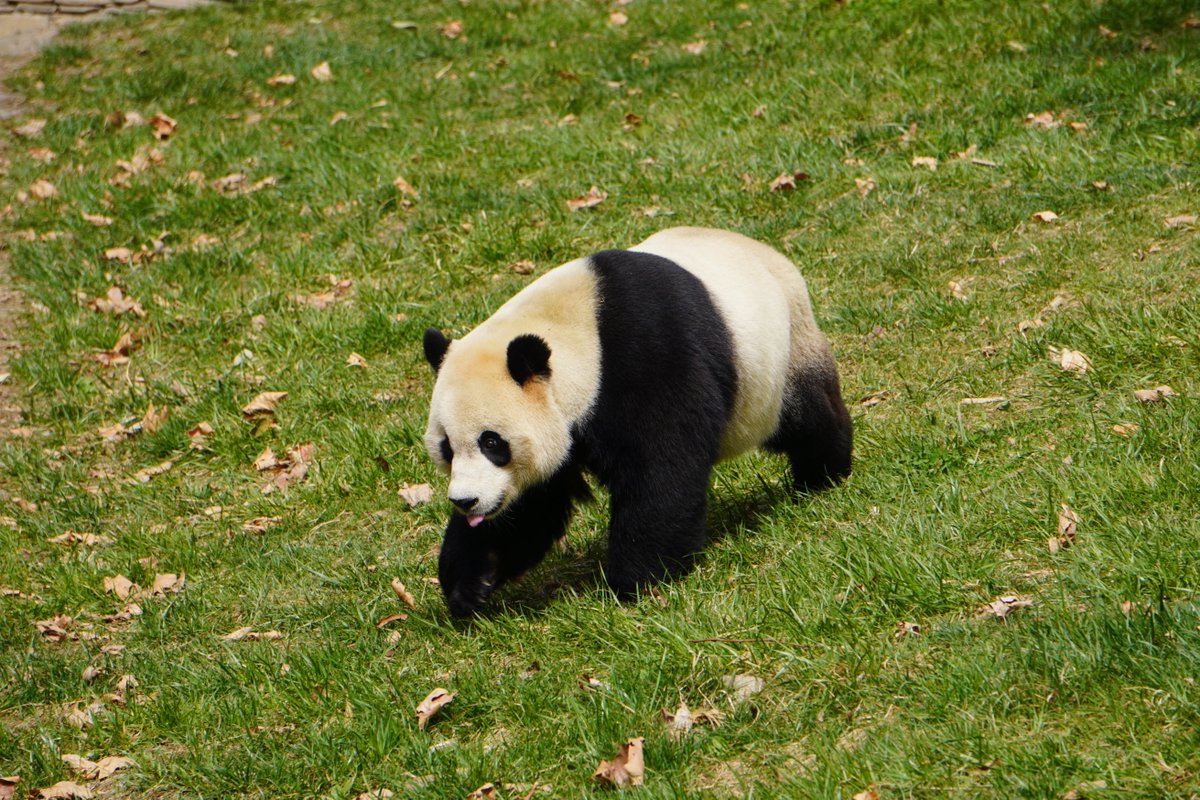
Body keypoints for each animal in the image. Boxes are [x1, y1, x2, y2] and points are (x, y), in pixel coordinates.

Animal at [422, 227, 851, 617]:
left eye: (492, 443)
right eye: (447, 447)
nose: (464, 501)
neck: (580, 335)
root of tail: (774, 255)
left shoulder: (646, 359)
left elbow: (661, 469)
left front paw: (637, 580)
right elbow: (530, 504)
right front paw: (469, 584)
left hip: (776, 360)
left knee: (806, 418)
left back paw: (823, 473)